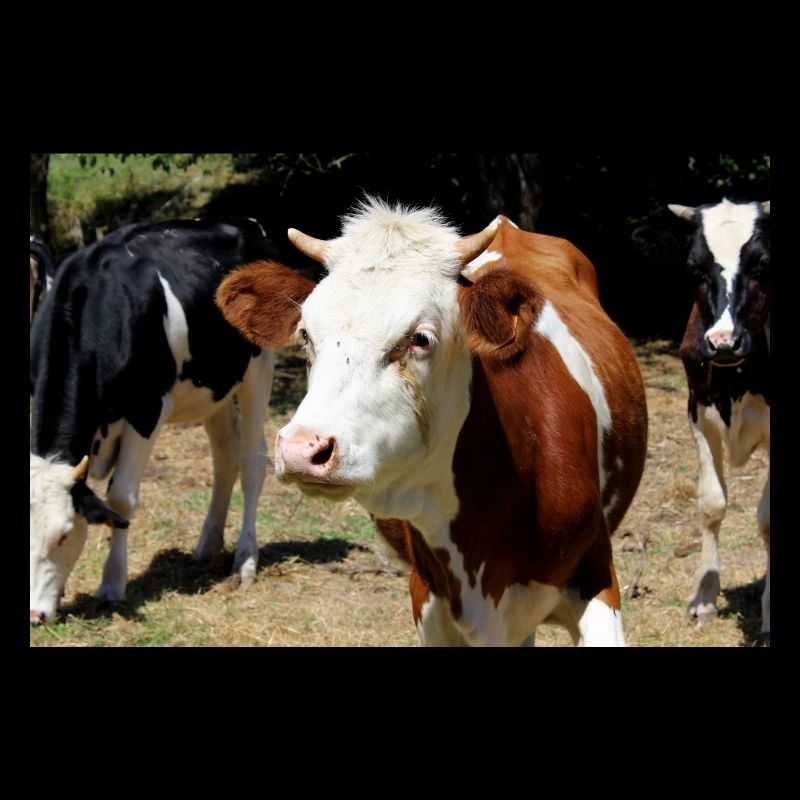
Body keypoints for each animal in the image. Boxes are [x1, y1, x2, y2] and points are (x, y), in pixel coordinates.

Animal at [30, 218, 276, 626]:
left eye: (64, 535)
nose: (34, 615)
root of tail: (245, 224)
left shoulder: (147, 410)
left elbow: (121, 498)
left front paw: (112, 584)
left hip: (258, 367)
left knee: (252, 461)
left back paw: (245, 561)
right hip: (212, 387)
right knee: (225, 455)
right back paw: (207, 544)